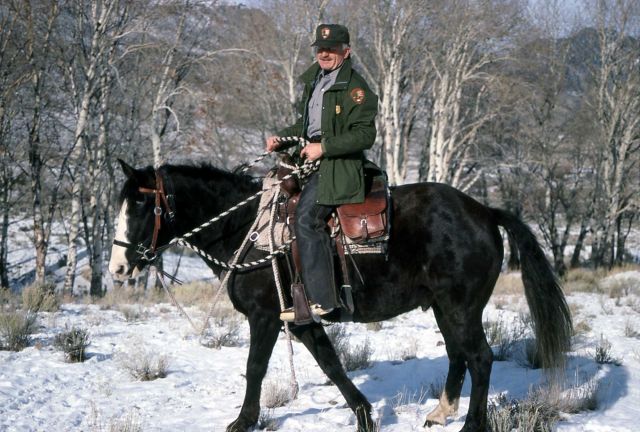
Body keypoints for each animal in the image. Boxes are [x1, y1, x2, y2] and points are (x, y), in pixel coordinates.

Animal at [108, 159, 572, 432]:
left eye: (141, 205)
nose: (118, 268)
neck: (247, 231)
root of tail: (484, 212)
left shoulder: (265, 317)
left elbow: (255, 368)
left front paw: (243, 421)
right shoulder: (302, 320)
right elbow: (331, 364)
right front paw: (364, 414)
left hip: (460, 306)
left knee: (480, 357)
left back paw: (471, 425)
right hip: (445, 307)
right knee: (460, 355)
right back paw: (440, 413)